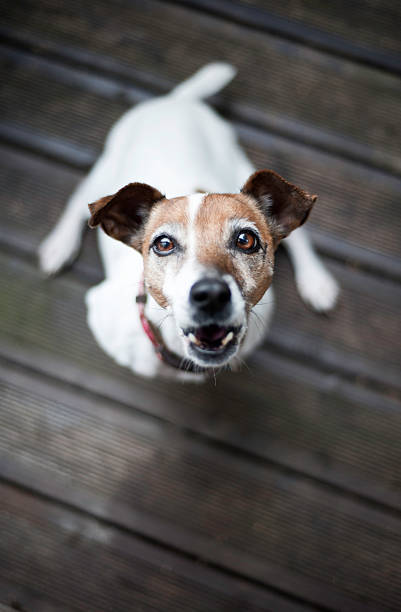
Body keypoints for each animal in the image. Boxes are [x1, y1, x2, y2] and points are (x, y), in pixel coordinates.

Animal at [39, 62, 338, 378]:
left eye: (246, 240)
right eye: (163, 244)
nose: (211, 295)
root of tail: (177, 100)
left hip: (241, 164)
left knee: (300, 237)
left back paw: (317, 282)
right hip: (104, 171)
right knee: (77, 201)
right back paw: (58, 246)